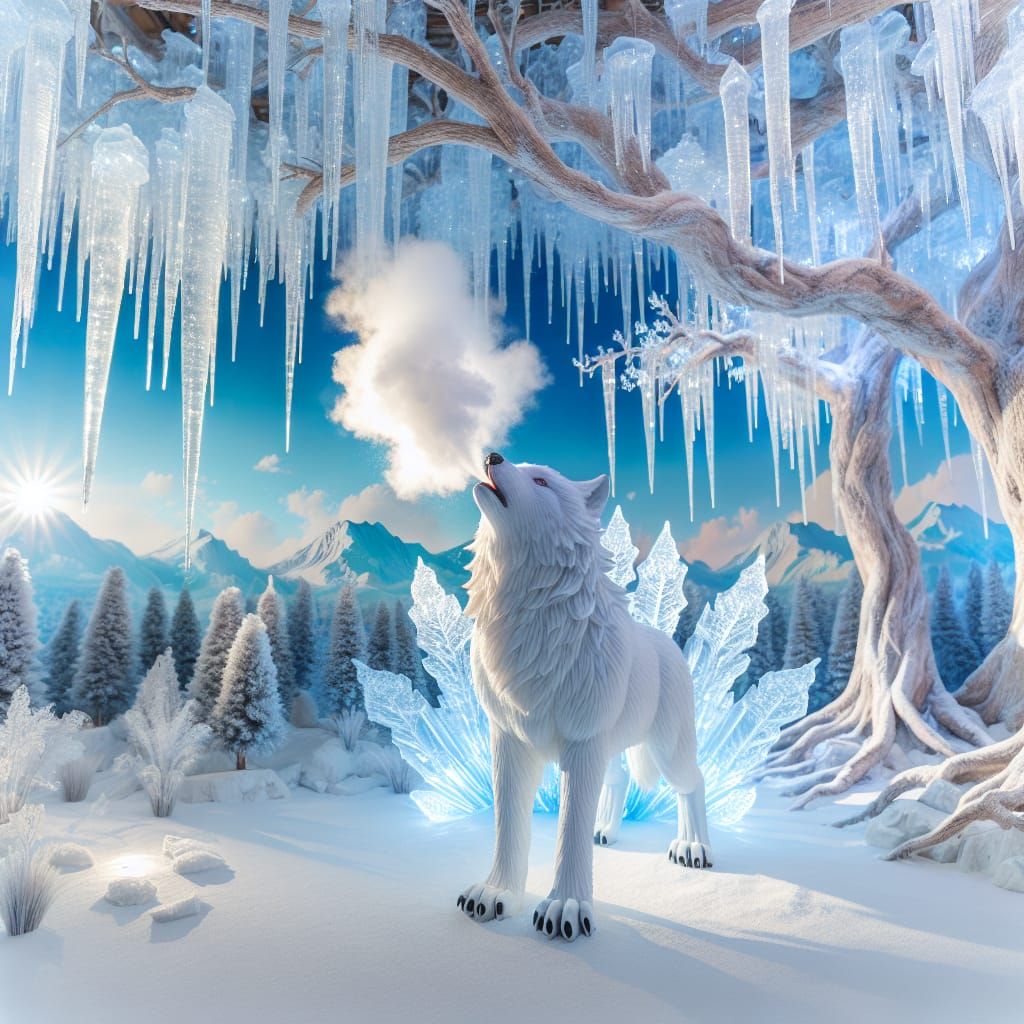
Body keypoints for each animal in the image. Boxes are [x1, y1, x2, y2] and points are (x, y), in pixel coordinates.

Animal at [456, 453, 712, 942]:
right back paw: (606, 830)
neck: (532, 622)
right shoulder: (510, 740)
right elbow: (508, 824)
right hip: (611, 746)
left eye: (541, 481)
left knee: (694, 781)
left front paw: (565, 909)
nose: (493, 456)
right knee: (620, 778)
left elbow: (569, 828)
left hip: (667, 747)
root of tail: (666, 640)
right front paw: (496, 895)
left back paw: (693, 846)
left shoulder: (582, 743)